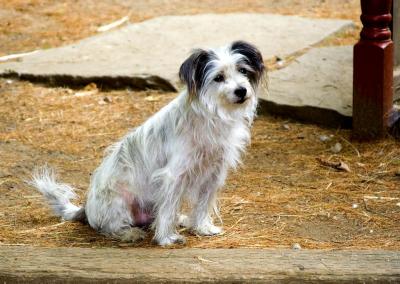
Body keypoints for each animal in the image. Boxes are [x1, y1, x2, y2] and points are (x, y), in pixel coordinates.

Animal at [31, 40, 268, 246]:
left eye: (243, 71)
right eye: (218, 77)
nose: (241, 91)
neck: (211, 116)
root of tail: (86, 208)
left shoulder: (213, 174)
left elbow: (202, 205)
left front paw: (201, 228)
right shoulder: (173, 176)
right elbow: (168, 209)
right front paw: (166, 239)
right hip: (120, 202)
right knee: (110, 227)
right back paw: (129, 233)